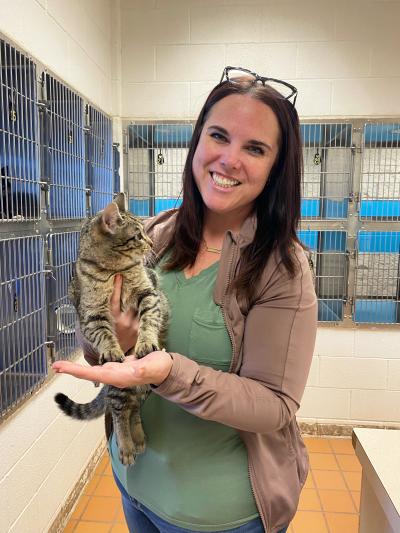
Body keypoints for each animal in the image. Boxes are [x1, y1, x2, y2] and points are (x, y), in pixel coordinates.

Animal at [54, 193, 169, 464]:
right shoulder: (91, 314)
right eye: (138, 235)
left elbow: (149, 319)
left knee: (133, 408)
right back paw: (127, 445)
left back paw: (138, 438)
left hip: (138, 387)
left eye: (145, 232)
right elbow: (103, 333)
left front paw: (146, 341)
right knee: (120, 413)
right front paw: (111, 349)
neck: (115, 270)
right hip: (118, 386)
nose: (150, 242)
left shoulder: (149, 294)